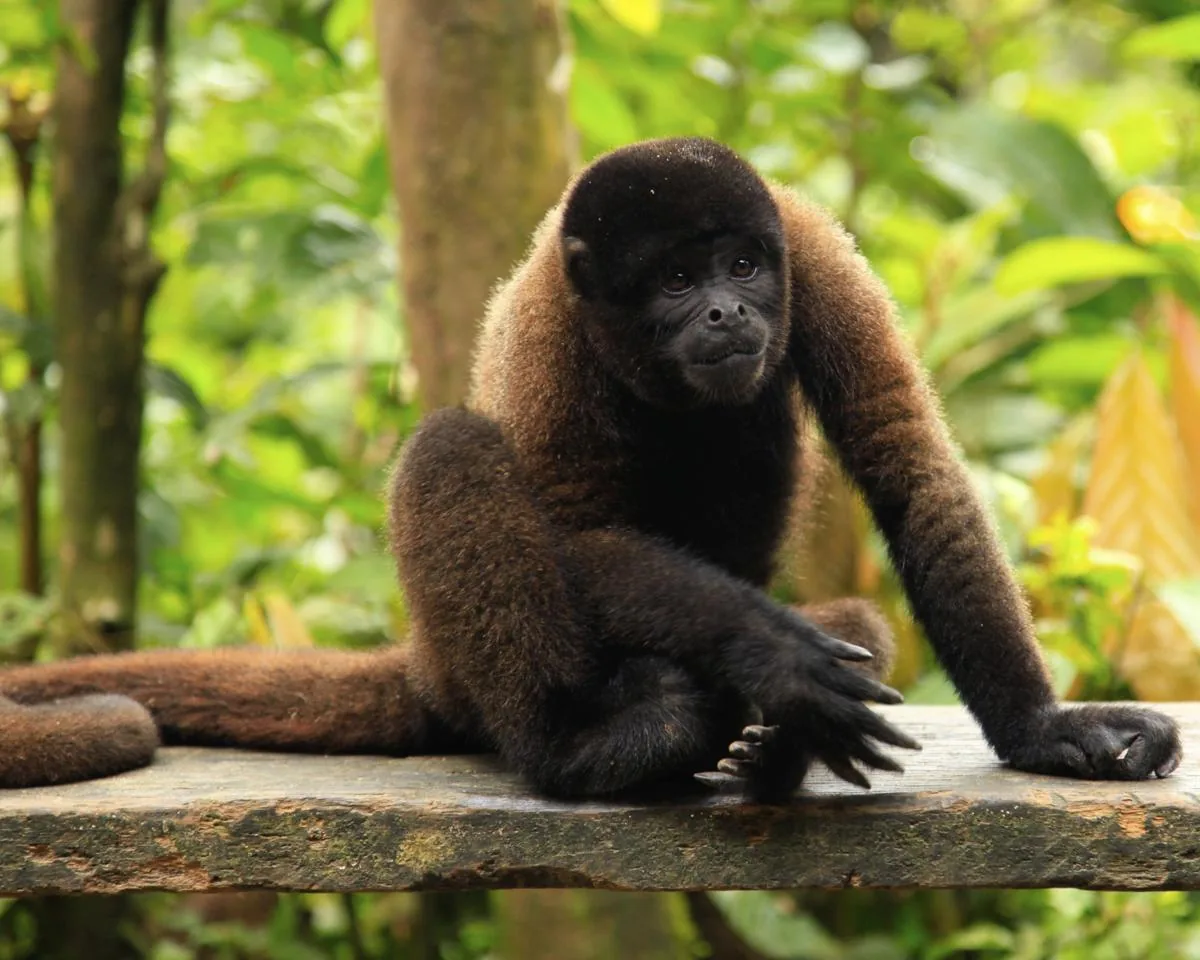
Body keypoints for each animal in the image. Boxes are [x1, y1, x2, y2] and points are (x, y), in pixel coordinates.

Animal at [0, 137, 1181, 799]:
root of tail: (427, 662)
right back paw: (596, 745)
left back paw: (766, 753)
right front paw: (775, 658)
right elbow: (575, 530)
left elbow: (910, 466)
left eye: (742, 263)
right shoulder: (549, 333)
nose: (726, 312)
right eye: (675, 280)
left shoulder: (811, 252)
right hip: (473, 672)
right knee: (452, 450)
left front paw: (1043, 732)